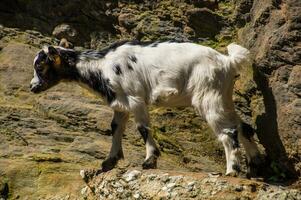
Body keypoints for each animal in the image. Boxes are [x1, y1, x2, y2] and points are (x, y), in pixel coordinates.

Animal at [29, 40, 260, 177]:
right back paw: (256, 162)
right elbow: (115, 128)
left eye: (40, 66)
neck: (102, 65)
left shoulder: (135, 98)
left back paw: (232, 170)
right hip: (224, 97)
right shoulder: (120, 104)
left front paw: (150, 160)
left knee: (228, 132)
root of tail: (228, 61)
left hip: (209, 97)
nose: (32, 87)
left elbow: (142, 128)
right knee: (244, 127)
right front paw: (109, 161)